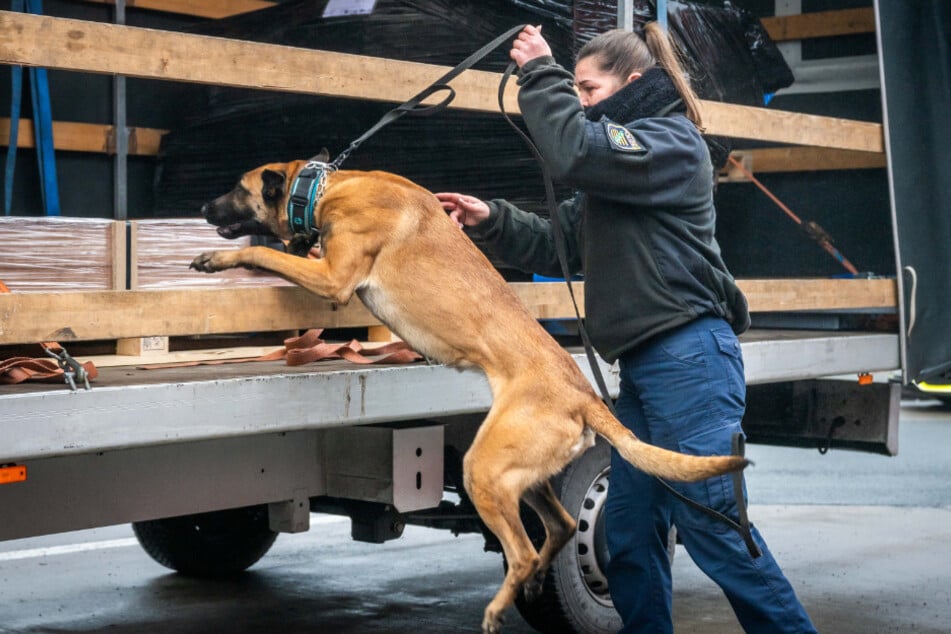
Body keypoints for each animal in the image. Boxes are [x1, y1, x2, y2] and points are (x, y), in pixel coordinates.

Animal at [190, 157, 748, 632]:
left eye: (237, 188)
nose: (200, 210)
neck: (328, 185)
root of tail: (583, 395)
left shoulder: (334, 278)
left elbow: (263, 249)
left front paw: (218, 257)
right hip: (519, 473)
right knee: (562, 527)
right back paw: (536, 582)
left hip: (483, 467)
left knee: (523, 550)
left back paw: (500, 607)